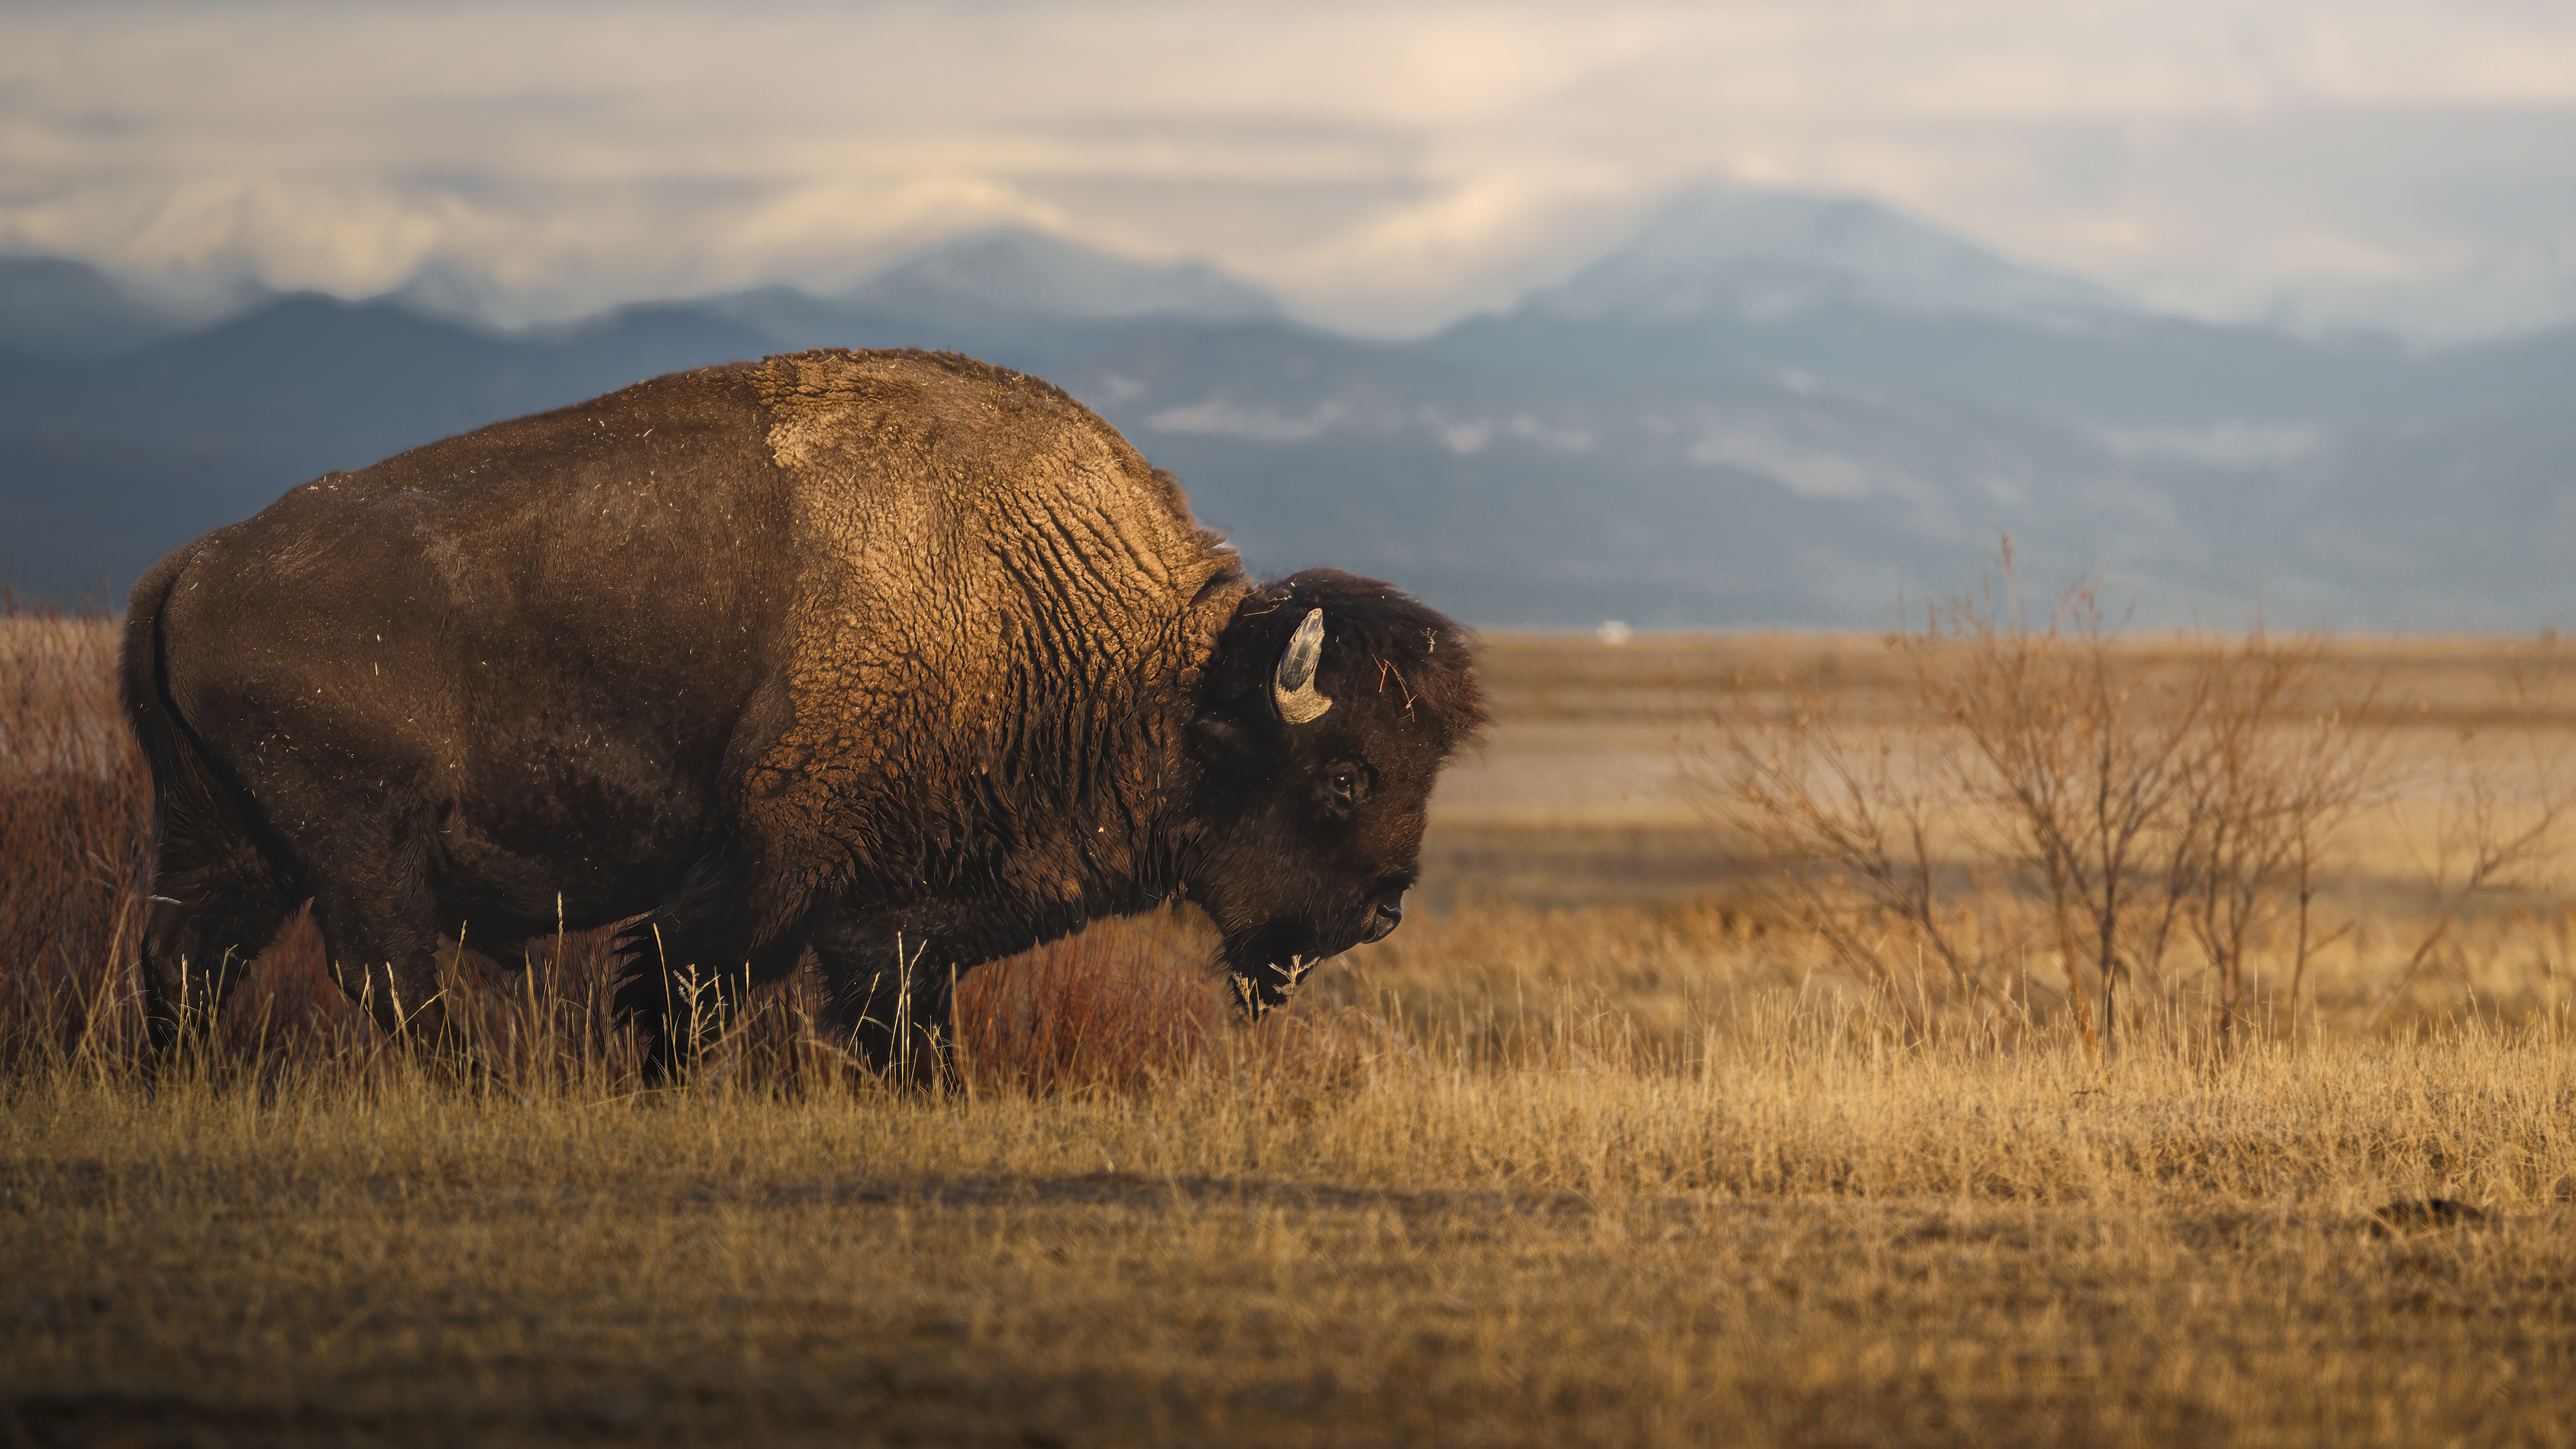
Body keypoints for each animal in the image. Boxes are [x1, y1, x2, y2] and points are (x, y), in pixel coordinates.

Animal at [118, 348, 1484, 1081]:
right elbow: (683, 986)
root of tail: (196, 562)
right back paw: (480, 1087)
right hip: (360, 844)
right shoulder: (765, 876)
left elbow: (904, 1019)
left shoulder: (895, 920)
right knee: (384, 965)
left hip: (223, 837)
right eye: (1347, 773)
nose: (1380, 908)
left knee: (190, 953)